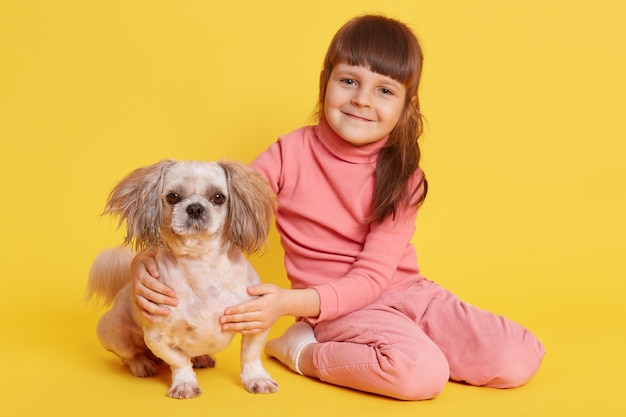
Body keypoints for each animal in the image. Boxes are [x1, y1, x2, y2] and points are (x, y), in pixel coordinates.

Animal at [85, 158, 278, 396]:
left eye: (218, 197)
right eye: (173, 196)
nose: (195, 207)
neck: (202, 266)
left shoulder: (257, 322)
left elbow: (250, 356)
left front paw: (257, 378)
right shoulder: (157, 338)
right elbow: (179, 361)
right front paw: (185, 383)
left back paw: (200, 357)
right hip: (113, 332)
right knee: (129, 355)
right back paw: (141, 364)